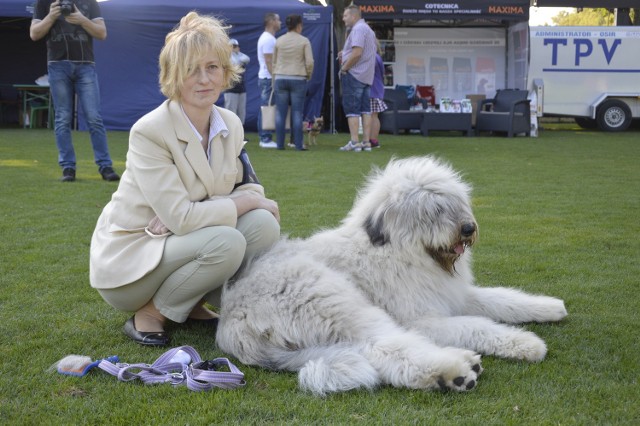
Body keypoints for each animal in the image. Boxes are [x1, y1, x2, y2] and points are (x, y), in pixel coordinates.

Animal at [218, 157, 568, 396]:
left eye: (455, 203)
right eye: (432, 211)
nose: (468, 228)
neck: (398, 251)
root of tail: (234, 323)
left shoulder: (454, 294)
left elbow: (501, 299)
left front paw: (549, 307)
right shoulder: (420, 319)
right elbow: (476, 325)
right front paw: (526, 342)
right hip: (337, 303)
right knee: (386, 347)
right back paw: (452, 373)